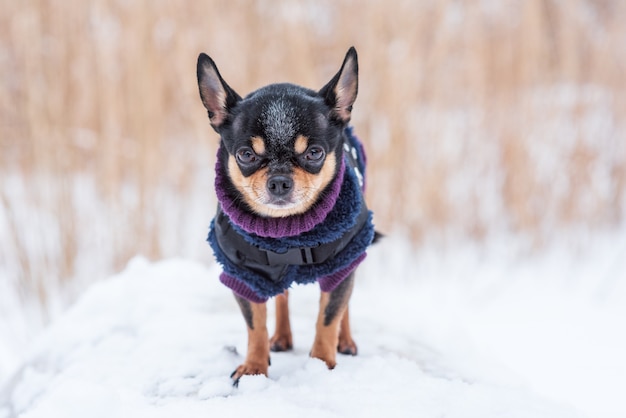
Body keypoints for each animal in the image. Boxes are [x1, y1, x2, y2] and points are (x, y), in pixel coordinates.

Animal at [197, 47, 376, 384]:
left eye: (315, 153)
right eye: (245, 155)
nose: (279, 180)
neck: (288, 233)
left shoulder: (342, 259)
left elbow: (328, 316)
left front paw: (322, 363)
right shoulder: (245, 273)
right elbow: (255, 323)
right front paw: (254, 367)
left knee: (343, 300)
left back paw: (345, 341)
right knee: (281, 297)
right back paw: (280, 337)